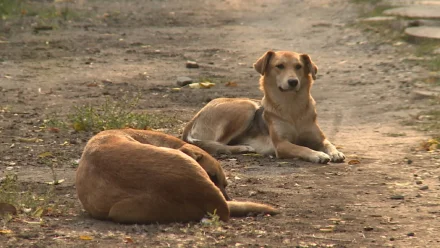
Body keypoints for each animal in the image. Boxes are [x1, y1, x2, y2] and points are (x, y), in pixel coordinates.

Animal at [181, 49, 344, 164]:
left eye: (299, 66)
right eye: (279, 66)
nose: (293, 82)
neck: (292, 107)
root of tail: (194, 118)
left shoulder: (319, 138)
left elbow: (328, 143)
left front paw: (335, 152)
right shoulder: (281, 145)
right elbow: (302, 148)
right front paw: (317, 154)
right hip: (246, 106)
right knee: (217, 144)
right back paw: (243, 147)